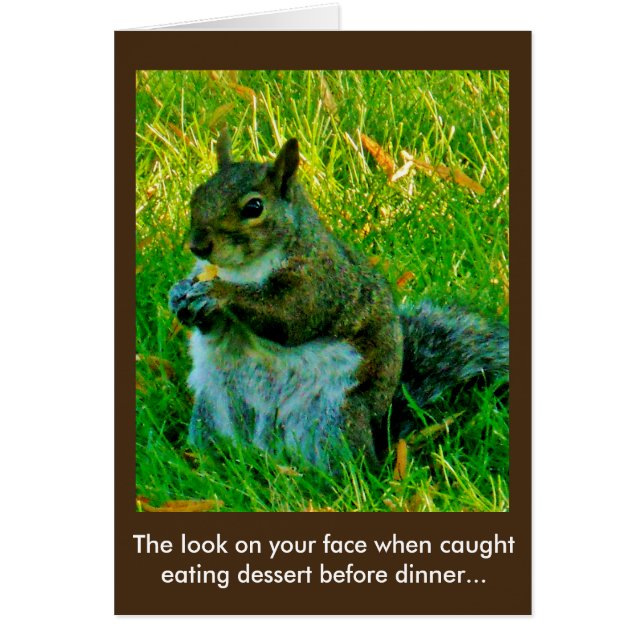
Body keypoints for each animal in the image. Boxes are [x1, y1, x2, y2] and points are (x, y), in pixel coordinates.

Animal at [169, 129, 508, 471]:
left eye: (254, 207)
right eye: (198, 193)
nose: (197, 246)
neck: (245, 269)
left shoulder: (319, 284)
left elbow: (286, 319)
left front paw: (219, 293)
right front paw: (179, 294)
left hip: (331, 421)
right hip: (213, 409)